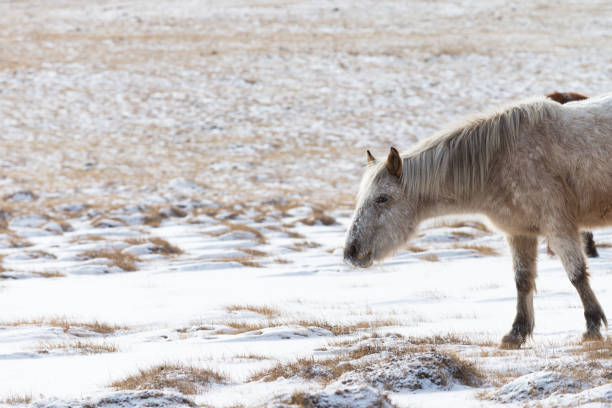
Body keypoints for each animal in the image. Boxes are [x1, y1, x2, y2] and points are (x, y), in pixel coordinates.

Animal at [344, 94, 612, 350]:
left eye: (382, 198)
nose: (350, 252)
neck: (500, 160)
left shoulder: (558, 227)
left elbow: (577, 275)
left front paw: (592, 328)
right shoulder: (519, 232)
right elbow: (523, 280)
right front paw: (516, 334)